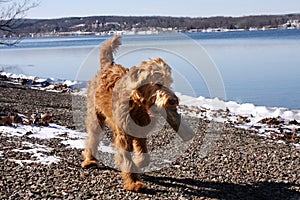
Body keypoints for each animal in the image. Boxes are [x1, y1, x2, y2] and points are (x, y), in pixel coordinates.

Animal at [81, 36, 191, 192]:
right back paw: (89, 159)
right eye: (158, 83)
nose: (174, 100)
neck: (137, 104)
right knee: (92, 138)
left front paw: (138, 163)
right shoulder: (123, 134)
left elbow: (144, 156)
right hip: (95, 116)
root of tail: (108, 65)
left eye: (169, 82)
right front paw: (134, 182)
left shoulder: (140, 132)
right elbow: (127, 158)